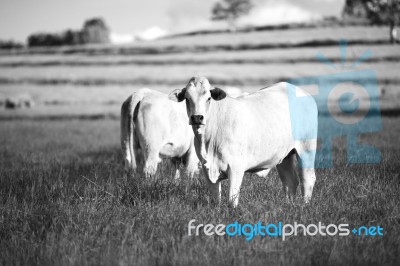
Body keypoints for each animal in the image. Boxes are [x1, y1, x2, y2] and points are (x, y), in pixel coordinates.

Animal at [167, 76, 318, 207]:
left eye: (208, 98)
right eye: (187, 98)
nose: (197, 117)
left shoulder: (236, 167)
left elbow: (232, 199)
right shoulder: (206, 168)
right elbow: (216, 198)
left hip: (307, 149)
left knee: (307, 179)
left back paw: (304, 205)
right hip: (284, 156)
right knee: (290, 181)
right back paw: (289, 205)